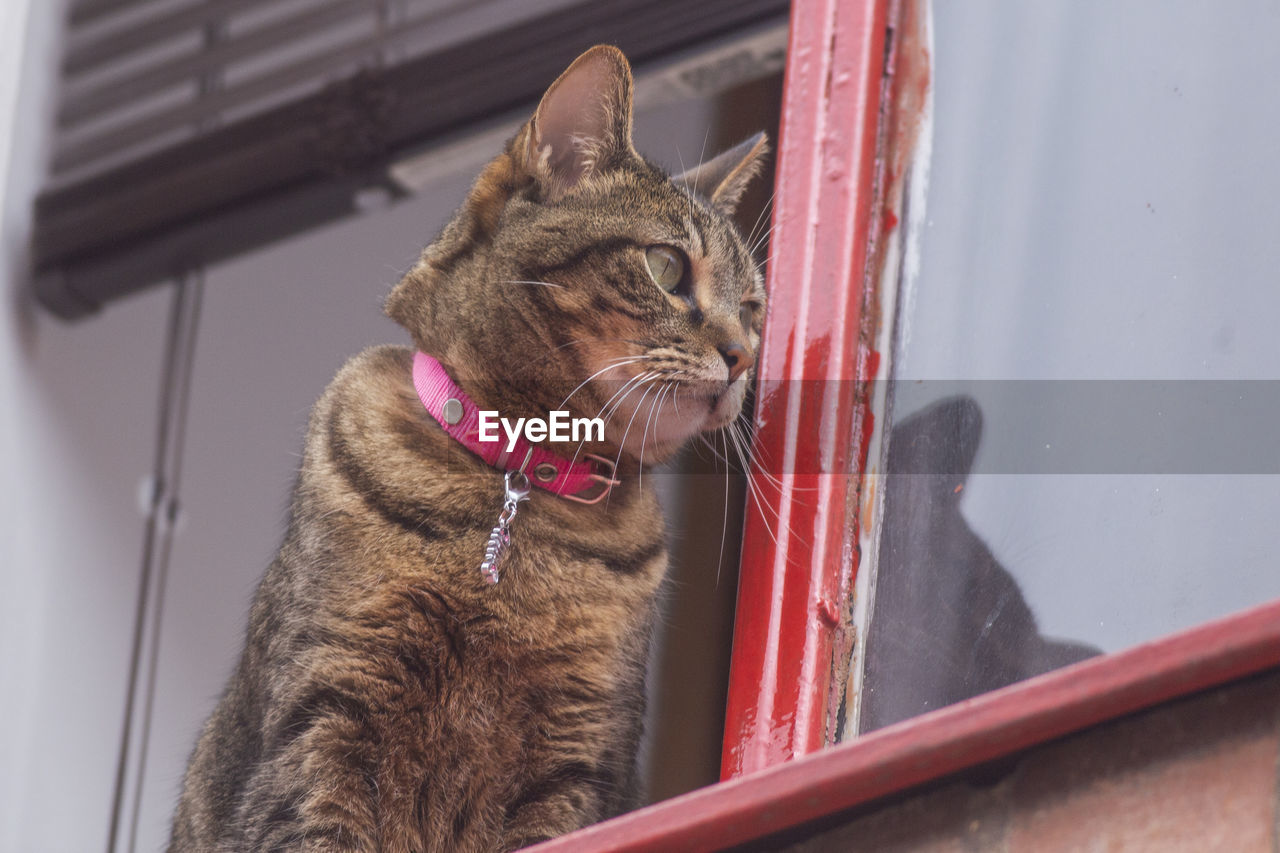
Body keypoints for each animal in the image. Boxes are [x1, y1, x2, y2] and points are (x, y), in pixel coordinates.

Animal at [170, 48, 768, 850]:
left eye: (754, 307)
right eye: (667, 267)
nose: (743, 355)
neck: (519, 481)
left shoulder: (576, 760)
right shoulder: (326, 712)